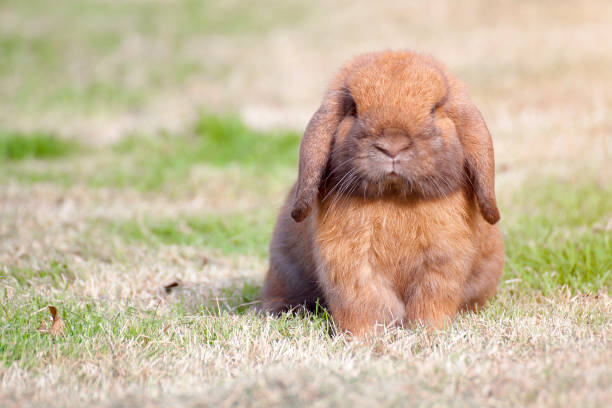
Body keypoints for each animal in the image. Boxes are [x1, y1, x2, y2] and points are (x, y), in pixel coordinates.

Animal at [260, 51, 504, 336]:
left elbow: (430, 303)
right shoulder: (351, 265)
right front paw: (365, 336)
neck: (395, 198)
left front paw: (428, 332)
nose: (393, 144)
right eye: (353, 108)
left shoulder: (441, 265)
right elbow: (365, 305)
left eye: (435, 108)